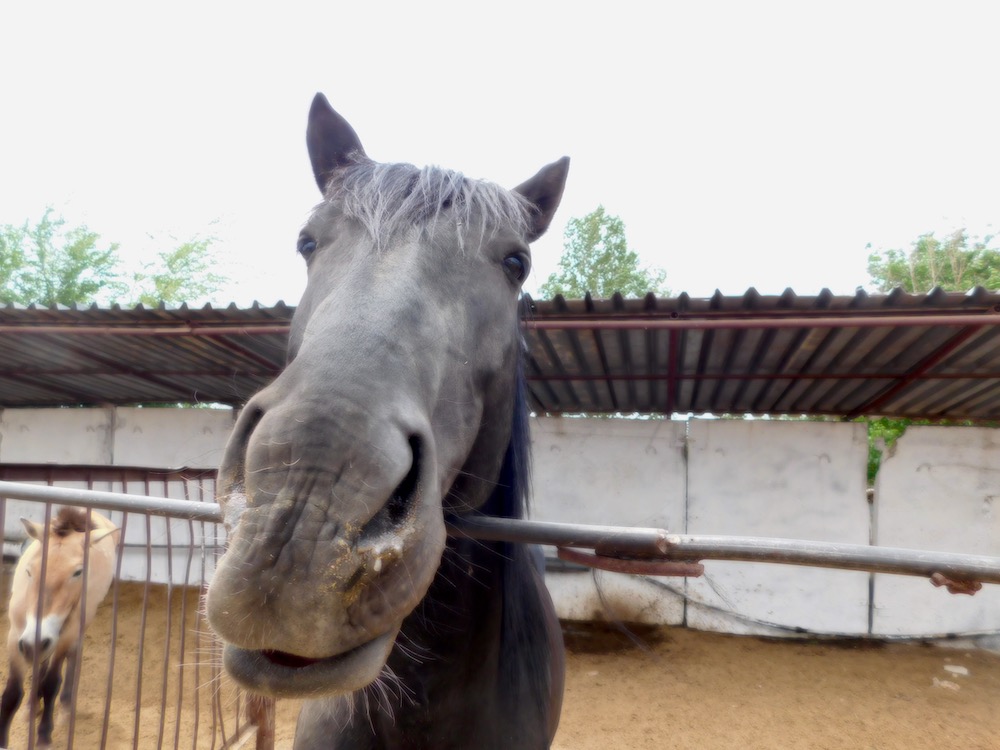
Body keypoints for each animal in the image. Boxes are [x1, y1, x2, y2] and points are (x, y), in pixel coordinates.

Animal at [0, 508, 119, 748]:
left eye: (78, 572)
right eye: (30, 570)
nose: (35, 642)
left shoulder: (64, 636)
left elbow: (51, 684)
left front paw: (44, 736)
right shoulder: (16, 635)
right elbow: (11, 693)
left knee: (72, 657)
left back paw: (65, 709)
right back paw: (31, 707)